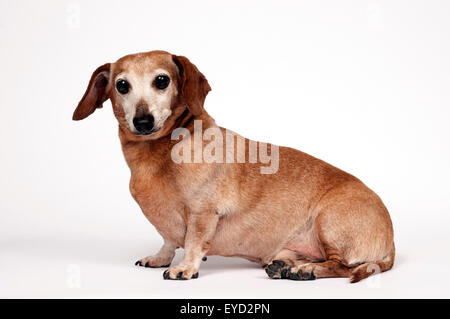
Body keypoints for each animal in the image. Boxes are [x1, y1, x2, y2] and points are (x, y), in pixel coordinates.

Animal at [73, 49, 394, 282]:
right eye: (122, 85)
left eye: (162, 81)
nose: (142, 122)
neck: (160, 153)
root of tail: (391, 243)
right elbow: (167, 239)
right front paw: (161, 257)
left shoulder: (203, 214)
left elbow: (193, 241)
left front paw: (185, 267)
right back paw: (285, 266)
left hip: (328, 221)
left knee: (341, 266)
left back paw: (305, 270)